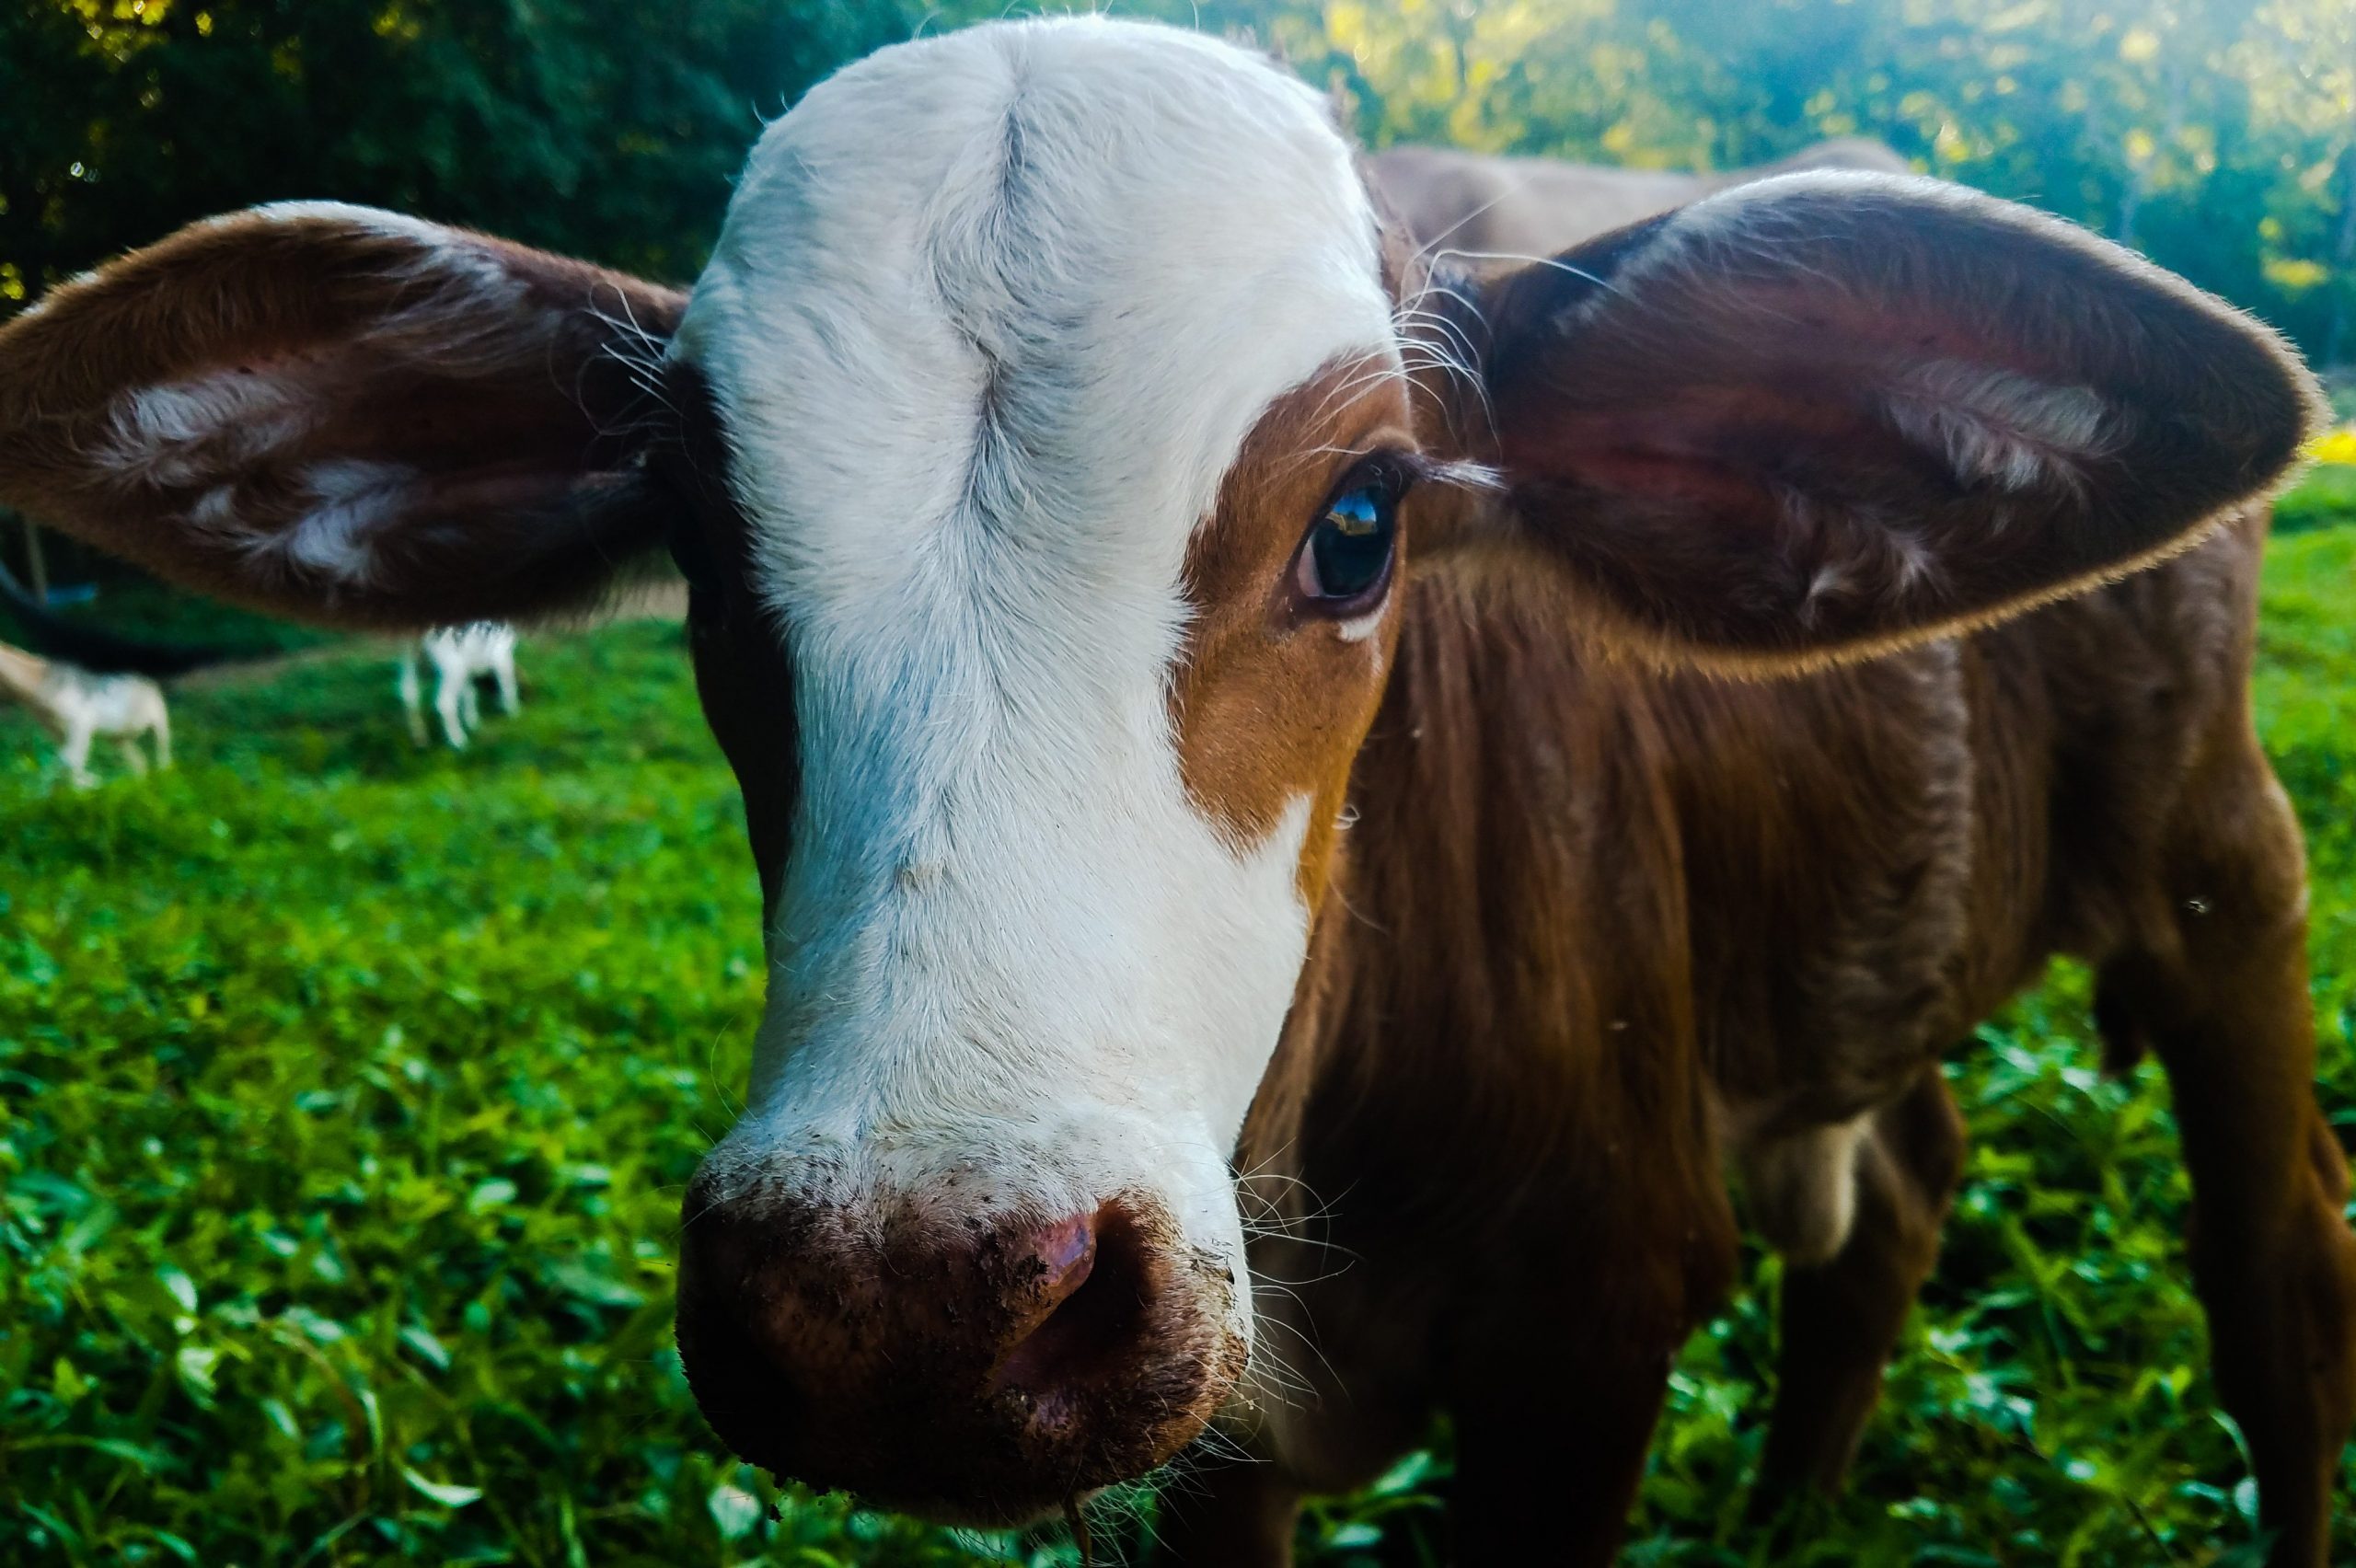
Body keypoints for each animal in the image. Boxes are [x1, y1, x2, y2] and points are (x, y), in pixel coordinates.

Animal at [0, 17, 2347, 1565]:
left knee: (2276, 1276)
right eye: (695, 536)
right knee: (1894, 1200)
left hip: (2222, 865)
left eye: (1362, 522)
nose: (905, 1305)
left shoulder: (1586, 1335)